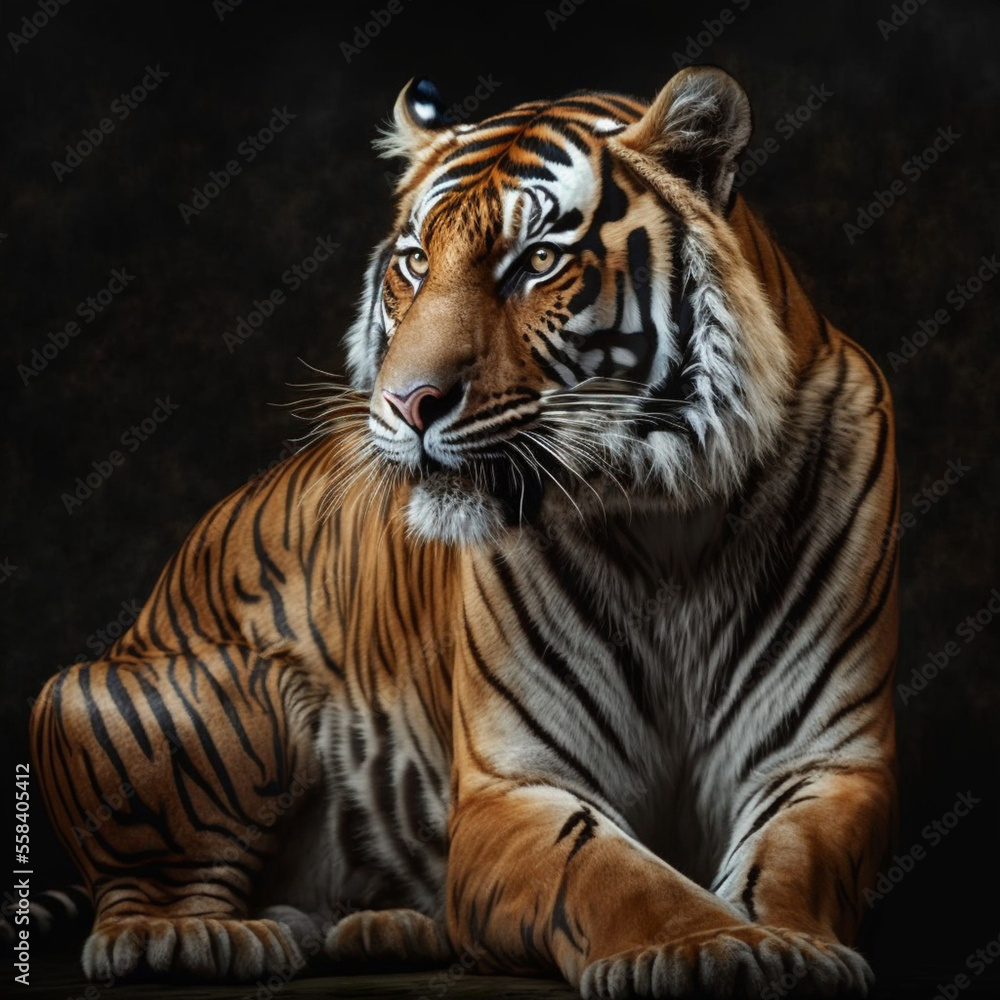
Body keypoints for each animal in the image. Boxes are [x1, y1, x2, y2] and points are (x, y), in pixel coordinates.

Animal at [30, 66, 898, 998]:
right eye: (415, 262)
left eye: (539, 262)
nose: (407, 402)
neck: (670, 521)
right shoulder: (509, 785)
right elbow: (613, 873)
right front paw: (710, 946)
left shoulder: (825, 761)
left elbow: (792, 860)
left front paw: (792, 949)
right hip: (181, 692)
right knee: (135, 903)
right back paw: (197, 939)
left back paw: (381, 928)